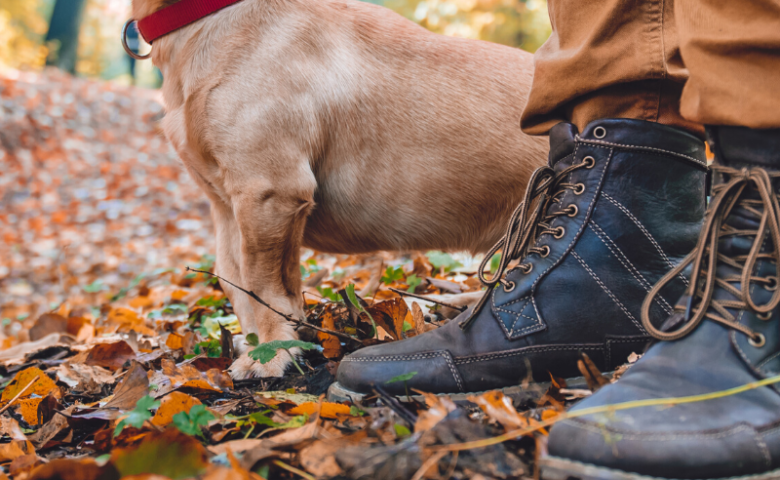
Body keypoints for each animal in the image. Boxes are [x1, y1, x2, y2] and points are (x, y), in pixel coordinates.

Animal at [131, 0, 548, 378]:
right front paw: (259, 344)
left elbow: (262, 287)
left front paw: (270, 353)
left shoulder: (268, 191)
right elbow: (234, 281)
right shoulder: (226, 206)